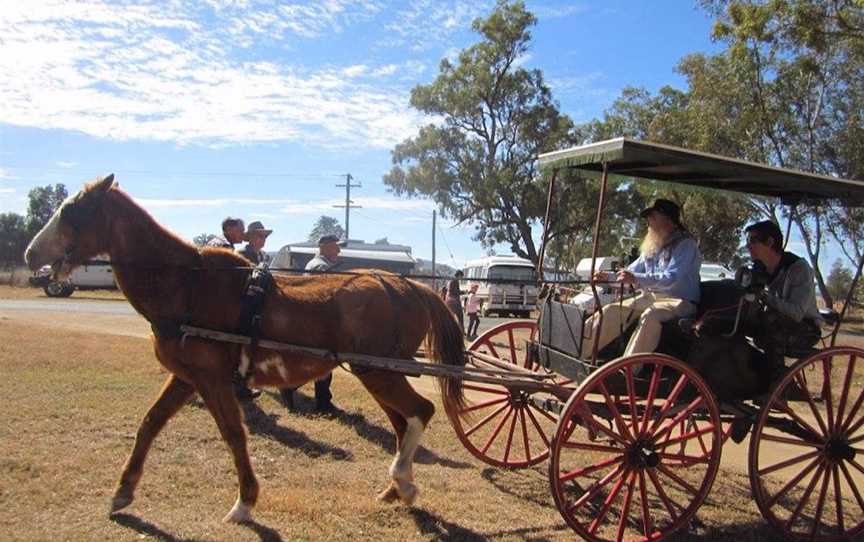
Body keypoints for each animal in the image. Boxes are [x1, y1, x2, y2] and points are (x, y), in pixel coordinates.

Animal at [23, 176, 466, 524]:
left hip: (378, 371)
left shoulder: (212, 379)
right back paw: (396, 488)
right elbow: (151, 423)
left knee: (420, 412)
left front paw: (244, 503)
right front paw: (122, 492)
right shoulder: (188, 377)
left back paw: (402, 481)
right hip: (377, 372)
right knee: (404, 423)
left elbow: (234, 433)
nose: (31, 254)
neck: (187, 284)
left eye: (72, 211)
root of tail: (412, 286)